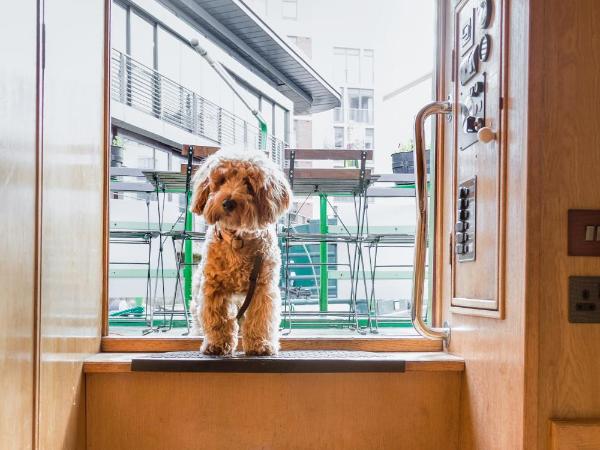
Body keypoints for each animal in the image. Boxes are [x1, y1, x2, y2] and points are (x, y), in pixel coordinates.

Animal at [188, 148, 290, 356]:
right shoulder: (213, 287)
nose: (228, 202)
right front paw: (217, 344)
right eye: (221, 180)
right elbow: (217, 319)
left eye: (248, 183)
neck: (237, 240)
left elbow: (261, 318)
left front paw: (260, 345)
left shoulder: (263, 288)